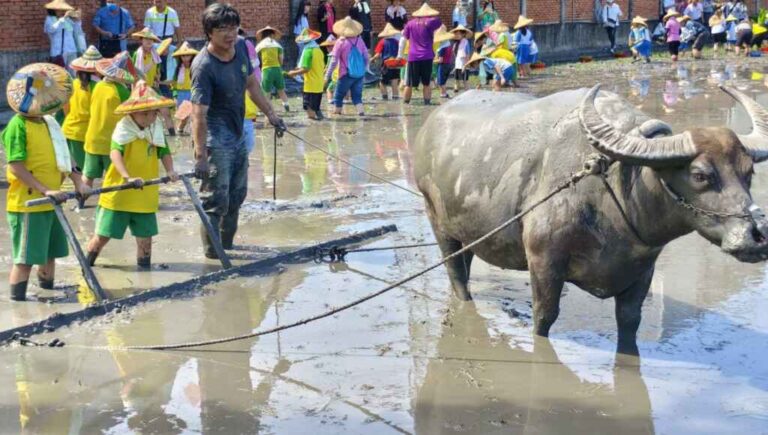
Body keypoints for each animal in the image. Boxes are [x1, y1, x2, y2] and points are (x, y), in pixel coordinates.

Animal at [416, 86, 768, 354]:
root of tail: (429, 126)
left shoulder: (643, 272)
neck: (617, 186)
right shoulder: (543, 262)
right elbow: (544, 317)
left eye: (749, 172)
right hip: (438, 222)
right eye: (700, 175)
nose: (757, 235)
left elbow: (629, 321)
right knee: (457, 274)